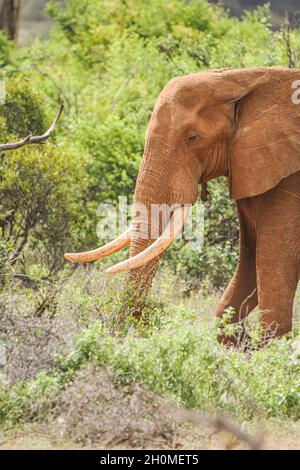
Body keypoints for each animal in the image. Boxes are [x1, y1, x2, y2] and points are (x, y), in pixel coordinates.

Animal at [65, 67, 300, 346]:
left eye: (193, 137)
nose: (142, 328)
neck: (243, 79)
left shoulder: (291, 180)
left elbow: (273, 262)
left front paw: (272, 350)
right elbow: (250, 260)